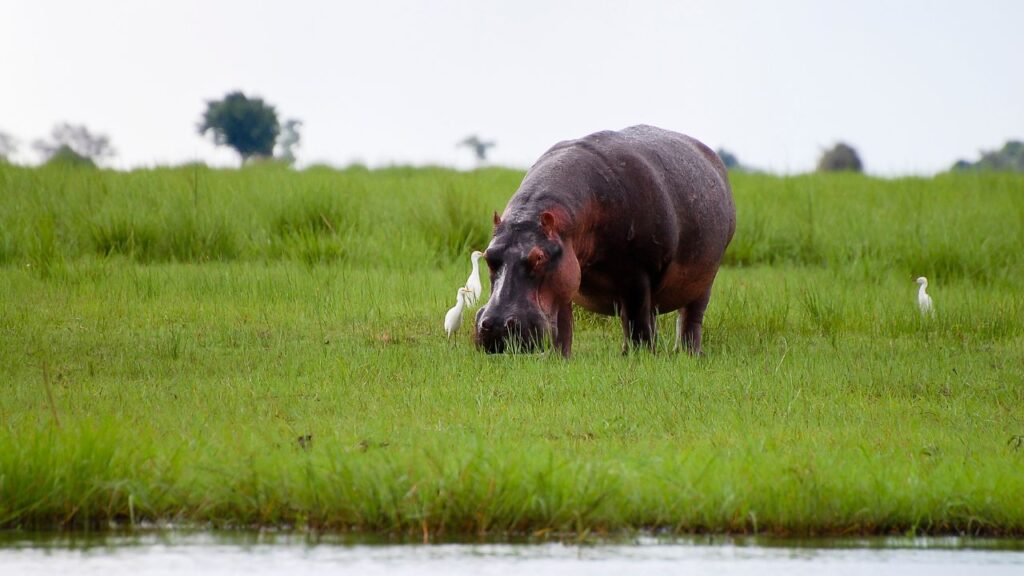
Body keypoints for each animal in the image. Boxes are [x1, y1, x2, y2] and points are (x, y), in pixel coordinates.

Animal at [475, 125, 735, 357]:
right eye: (488, 256)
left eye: (539, 257)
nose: (497, 325)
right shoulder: (564, 275)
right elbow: (564, 324)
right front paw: (559, 358)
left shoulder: (637, 273)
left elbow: (636, 322)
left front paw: (639, 358)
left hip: (704, 278)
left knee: (689, 318)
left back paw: (689, 354)